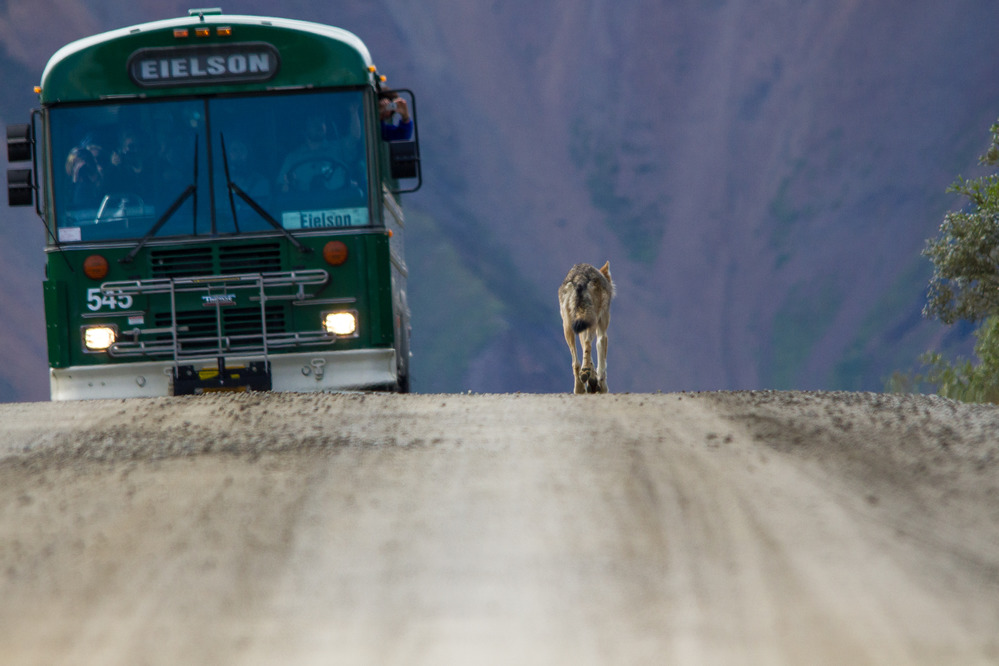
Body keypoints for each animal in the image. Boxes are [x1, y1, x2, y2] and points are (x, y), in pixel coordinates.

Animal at [558, 261, 614, 394]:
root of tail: (579, 279)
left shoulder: (580, 330)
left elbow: (588, 355)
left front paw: (592, 381)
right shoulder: (602, 332)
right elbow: (602, 362)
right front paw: (602, 386)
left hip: (567, 327)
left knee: (575, 362)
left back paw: (579, 386)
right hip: (592, 322)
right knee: (588, 344)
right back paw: (585, 373)